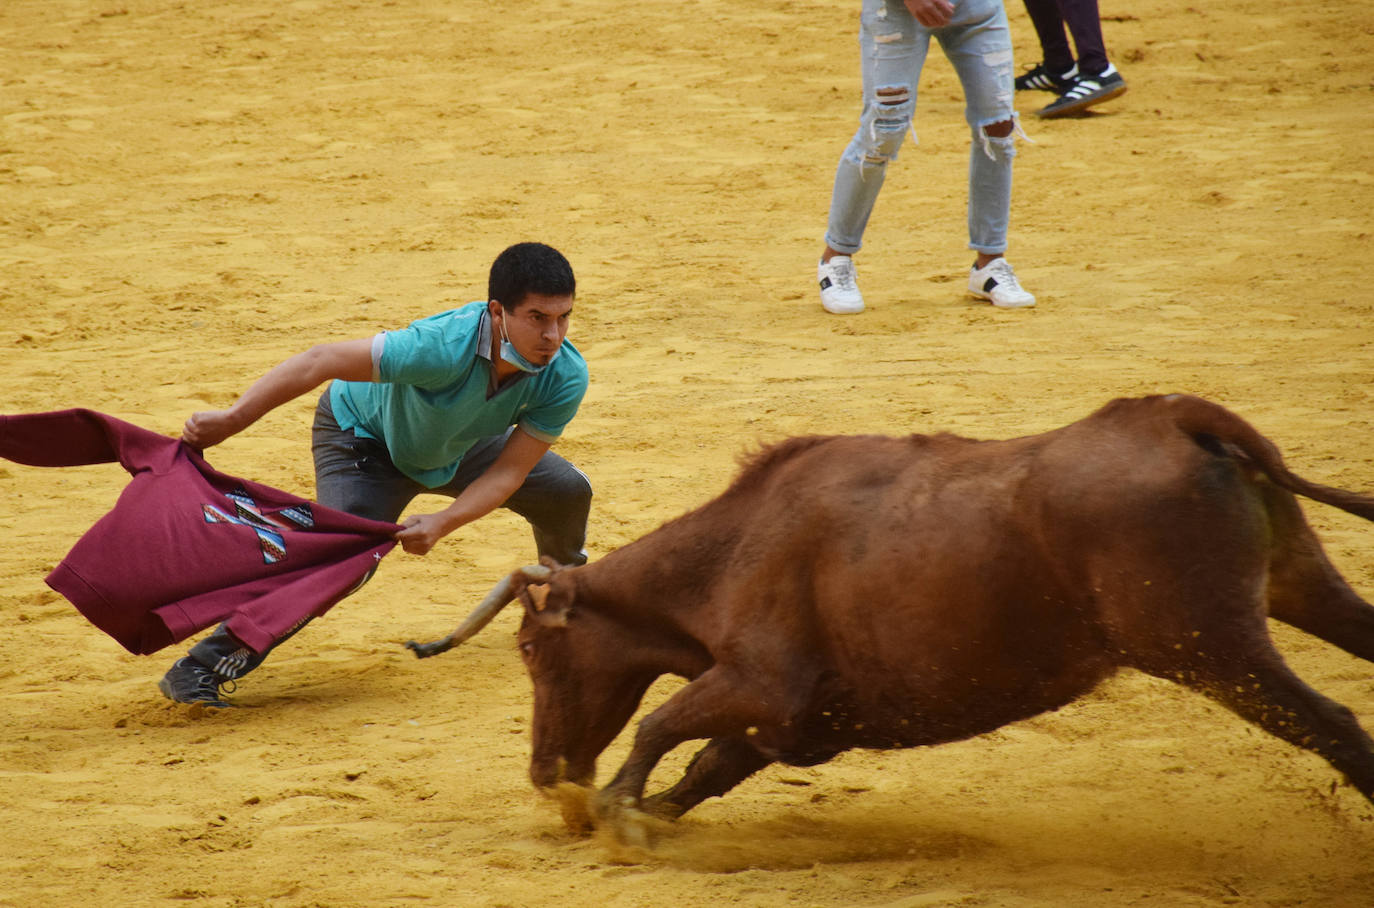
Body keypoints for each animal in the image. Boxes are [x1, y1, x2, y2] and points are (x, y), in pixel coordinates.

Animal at [409, 395, 1374, 835]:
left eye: (532, 649)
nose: (545, 775)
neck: (732, 545)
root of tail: (1176, 416)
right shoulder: (798, 722)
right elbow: (703, 764)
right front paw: (641, 816)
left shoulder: (763, 682)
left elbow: (660, 723)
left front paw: (615, 813)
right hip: (1295, 585)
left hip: (1209, 647)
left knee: (1330, 722)